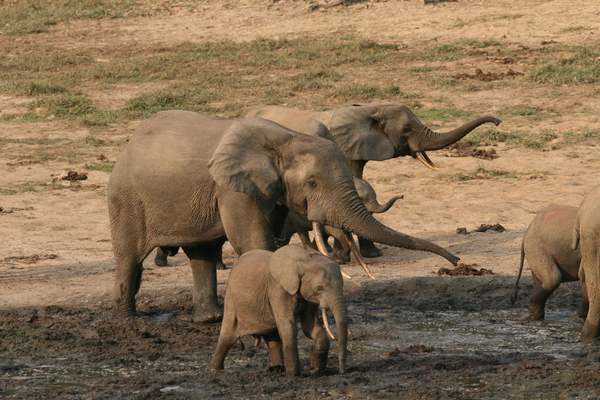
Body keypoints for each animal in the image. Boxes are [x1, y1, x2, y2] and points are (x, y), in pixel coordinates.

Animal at [108, 111, 458, 324]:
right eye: (312, 183)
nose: (455, 261)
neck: (287, 139)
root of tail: (127, 145)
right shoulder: (232, 188)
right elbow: (253, 241)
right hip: (126, 198)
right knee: (130, 258)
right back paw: (128, 319)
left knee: (203, 254)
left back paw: (211, 319)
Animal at [213, 244, 350, 378]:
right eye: (319, 288)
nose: (342, 372)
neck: (305, 260)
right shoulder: (278, 288)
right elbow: (288, 325)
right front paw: (294, 376)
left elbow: (309, 325)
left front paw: (316, 371)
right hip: (231, 299)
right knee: (227, 336)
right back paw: (215, 369)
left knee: (272, 336)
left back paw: (277, 369)